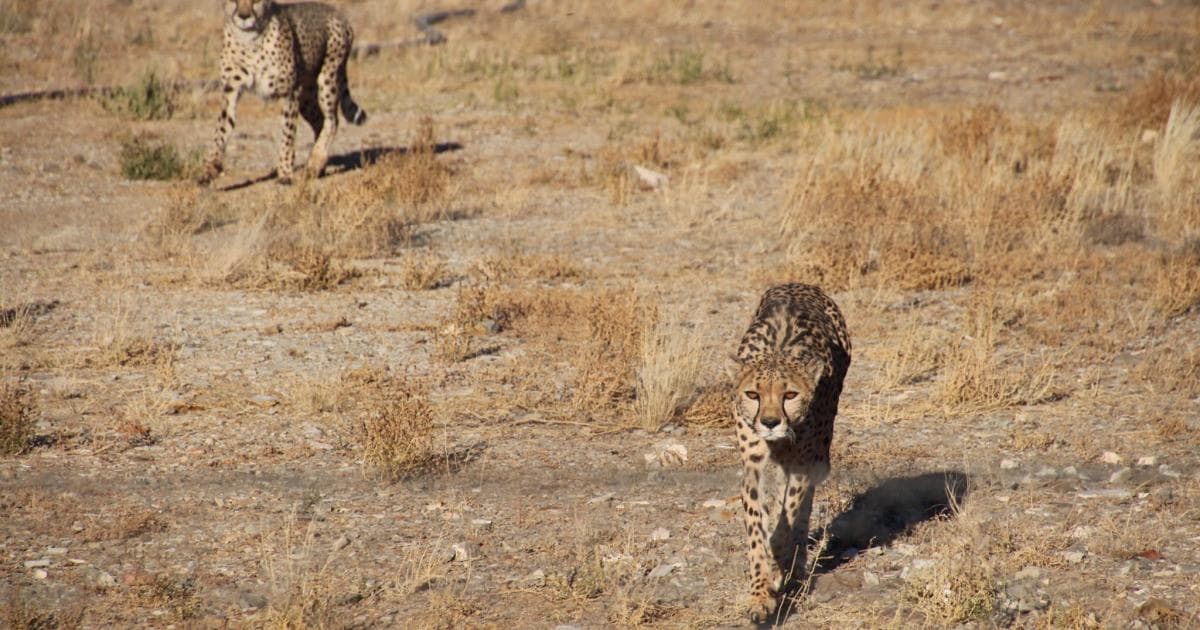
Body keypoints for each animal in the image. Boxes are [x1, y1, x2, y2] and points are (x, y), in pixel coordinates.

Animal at [199, 0, 367, 186]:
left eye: (256, 1)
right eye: (234, 2)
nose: (244, 16)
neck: (250, 41)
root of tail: (338, 13)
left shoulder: (289, 93)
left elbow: (287, 134)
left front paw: (285, 172)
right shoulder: (231, 91)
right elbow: (220, 131)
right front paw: (209, 170)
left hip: (327, 79)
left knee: (332, 120)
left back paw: (315, 161)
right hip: (306, 97)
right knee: (320, 121)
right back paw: (318, 166)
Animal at [729, 282, 854, 619]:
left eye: (790, 395)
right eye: (752, 394)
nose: (770, 422)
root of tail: (800, 284)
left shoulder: (802, 462)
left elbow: (791, 514)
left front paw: (777, 568)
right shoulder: (754, 466)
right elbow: (757, 528)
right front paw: (760, 594)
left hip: (820, 451)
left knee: (805, 502)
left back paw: (795, 564)